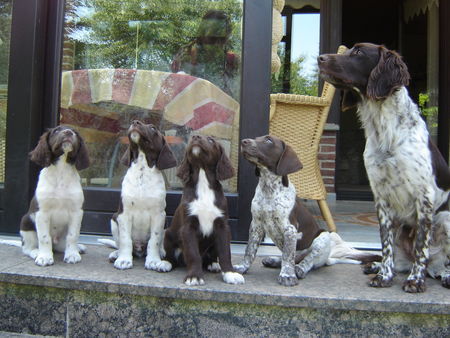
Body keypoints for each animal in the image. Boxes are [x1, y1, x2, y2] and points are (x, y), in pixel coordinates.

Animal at [19, 125, 89, 266]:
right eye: (56, 130)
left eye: (75, 133)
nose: (68, 132)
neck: (61, 170)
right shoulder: (42, 212)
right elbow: (44, 237)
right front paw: (45, 257)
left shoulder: (76, 212)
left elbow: (72, 236)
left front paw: (72, 255)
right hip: (26, 222)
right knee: (27, 248)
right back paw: (36, 252)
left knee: (62, 244)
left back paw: (77, 248)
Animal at [102, 120, 178, 270]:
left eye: (153, 128)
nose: (135, 122)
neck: (142, 170)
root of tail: (139, 250)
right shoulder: (123, 215)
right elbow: (125, 240)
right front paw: (124, 260)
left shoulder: (159, 216)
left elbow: (154, 240)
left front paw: (153, 260)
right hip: (113, 219)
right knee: (120, 244)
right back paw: (116, 254)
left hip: (166, 222)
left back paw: (161, 253)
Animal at [163, 135, 244, 286]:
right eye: (192, 137)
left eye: (211, 140)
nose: (195, 136)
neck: (203, 181)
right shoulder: (188, 227)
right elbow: (193, 254)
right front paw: (194, 276)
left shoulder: (222, 227)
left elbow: (225, 252)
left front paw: (230, 273)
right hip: (168, 234)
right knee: (171, 255)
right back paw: (165, 263)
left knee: (211, 256)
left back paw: (213, 264)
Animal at [232, 136, 380, 286]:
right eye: (256, 138)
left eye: (268, 141)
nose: (244, 141)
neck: (268, 189)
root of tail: (327, 258)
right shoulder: (256, 225)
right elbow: (250, 250)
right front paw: (242, 267)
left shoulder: (290, 229)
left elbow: (288, 256)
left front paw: (287, 275)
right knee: (294, 258)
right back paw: (274, 260)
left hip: (324, 237)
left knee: (308, 261)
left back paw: (299, 269)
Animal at [316, 41, 450, 290]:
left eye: (358, 52)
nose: (320, 58)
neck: (385, 132)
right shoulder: (381, 197)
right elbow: (385, 244)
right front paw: (384, 276)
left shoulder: (424, 196)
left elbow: (421, 246)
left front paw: (415, 281)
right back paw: (378, 266)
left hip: (446, 219)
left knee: (439, 262)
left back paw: (443, 274)